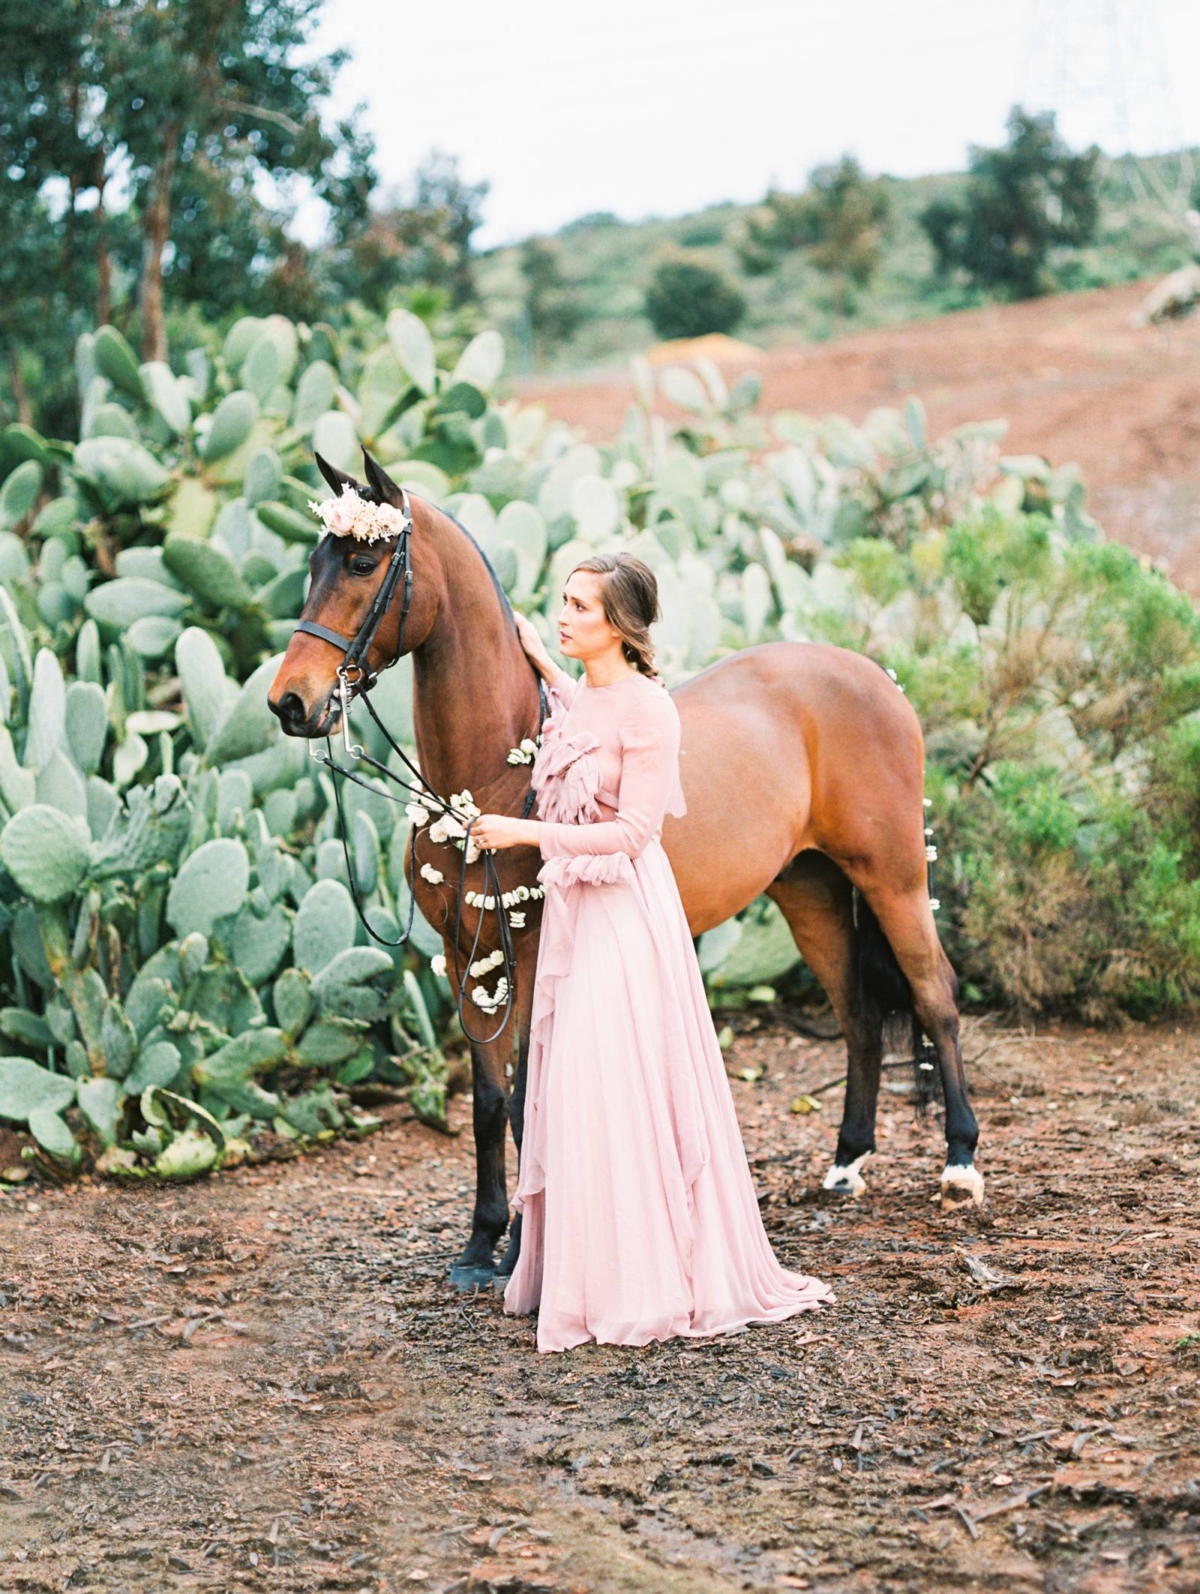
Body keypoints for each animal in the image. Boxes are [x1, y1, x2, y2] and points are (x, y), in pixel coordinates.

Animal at [266, 455, 975, 1287]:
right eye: (314, 564)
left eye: (362, 564)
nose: (290, 702)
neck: (490, 775)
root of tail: (876, 675)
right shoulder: (467, 954)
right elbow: (488, 1101)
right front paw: (480, 1244)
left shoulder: (528, 950)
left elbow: (528, 1101)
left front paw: (522, 1254)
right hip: (811, 891)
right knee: (859, 1016)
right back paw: (846, 1164)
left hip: (892, 877)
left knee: (935, 996)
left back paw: (960, 1163)